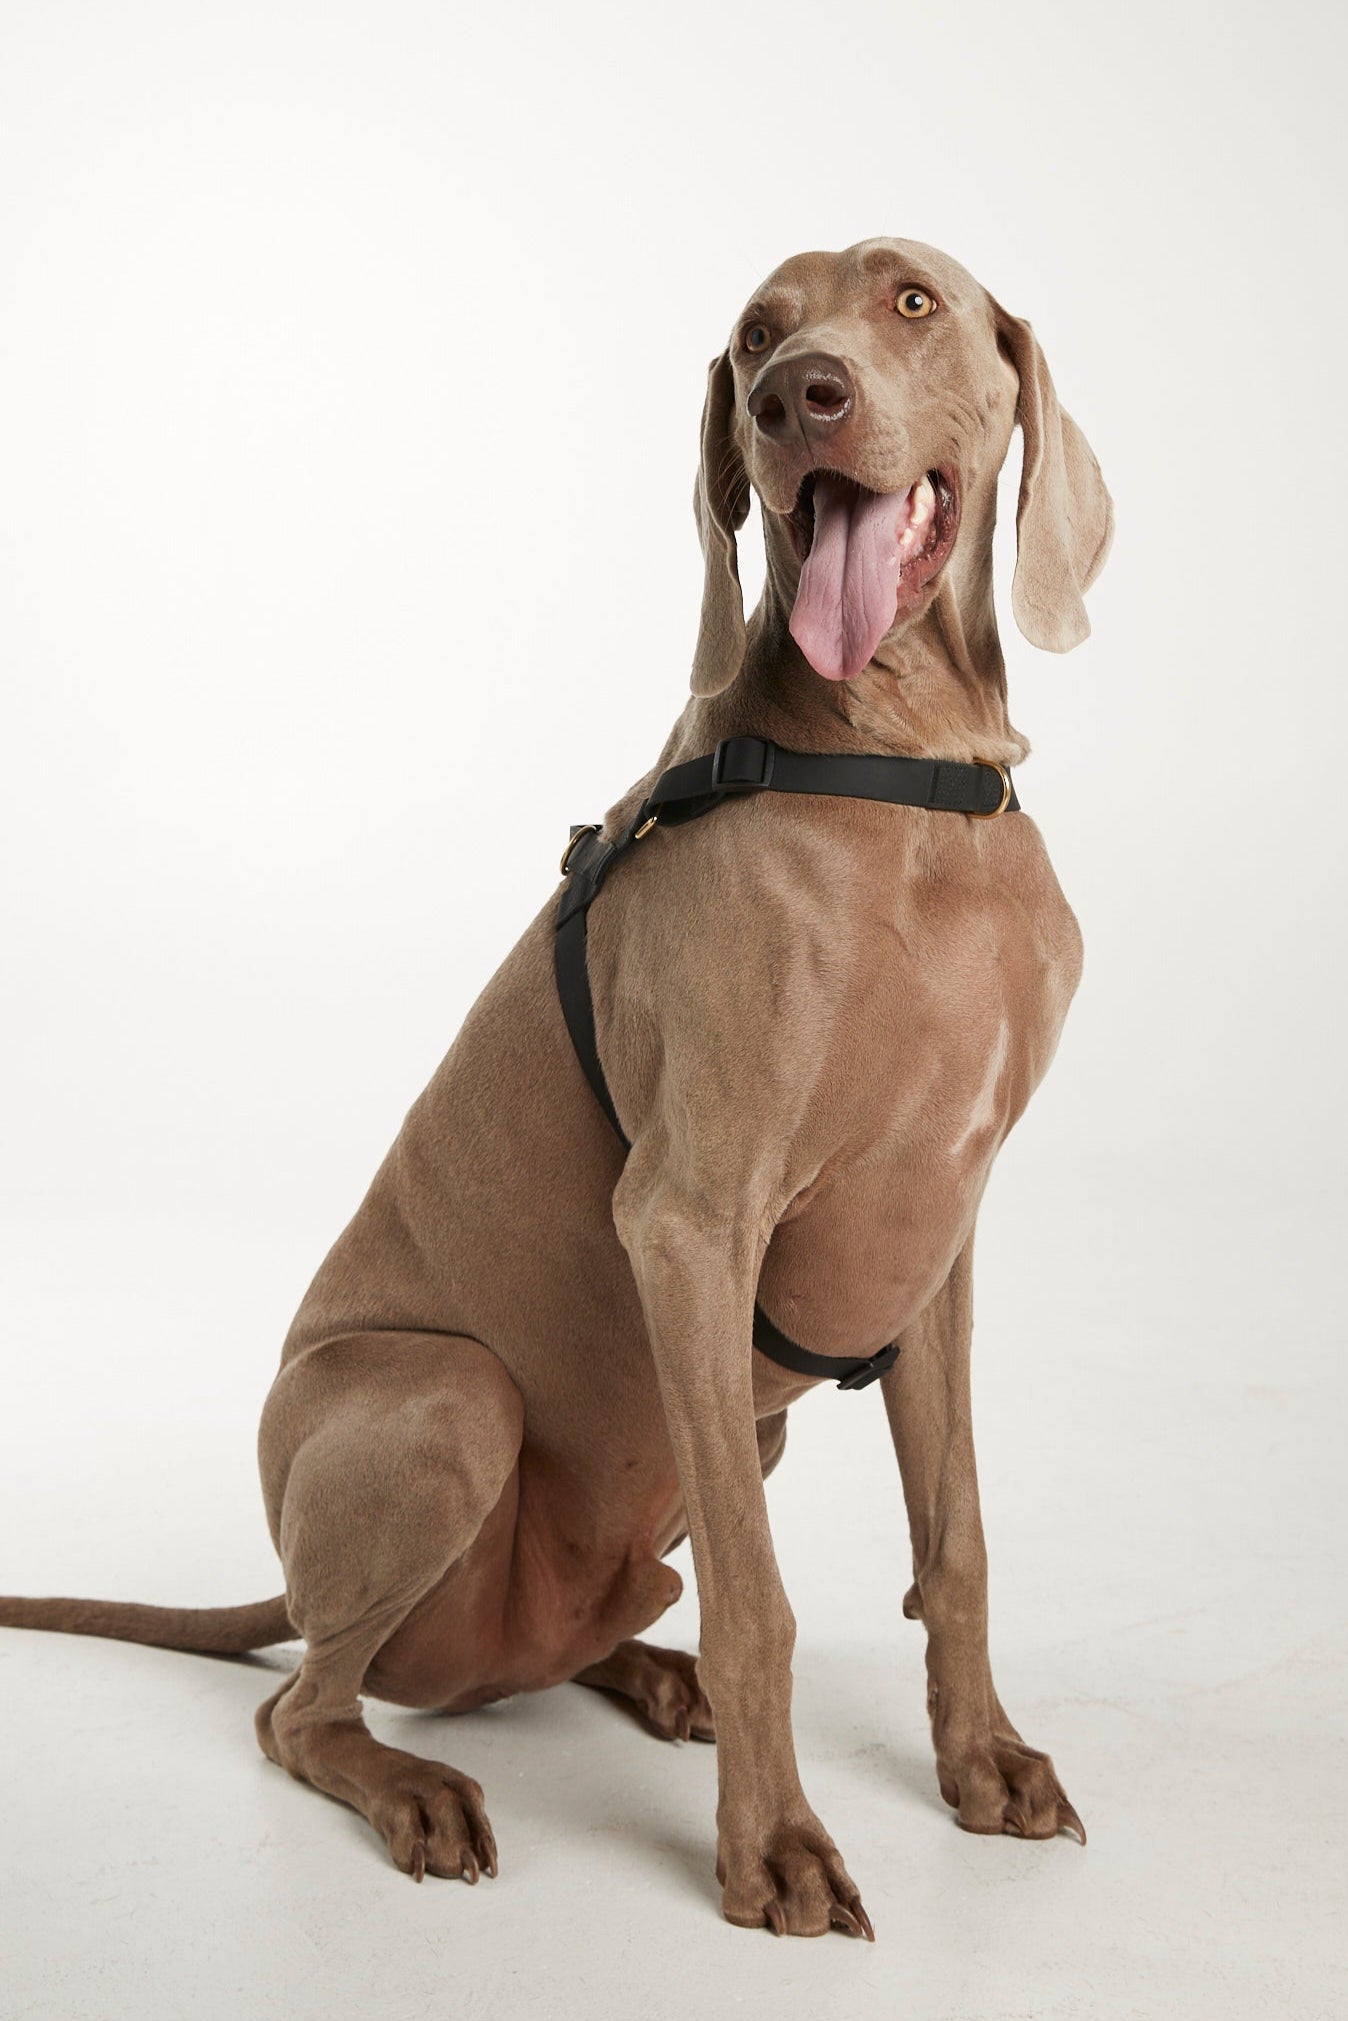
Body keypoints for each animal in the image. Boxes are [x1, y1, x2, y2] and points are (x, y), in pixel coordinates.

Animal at [1, 237, 1112, 1940]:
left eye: (911, 302)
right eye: (755, 335)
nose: (798, 399)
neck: (908, 776)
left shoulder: (936, 1239)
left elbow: (960, 1542)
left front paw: (980, 1761)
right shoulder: (690, 1223)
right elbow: (762, 1599)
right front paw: (776, 1847)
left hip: (709, 1446)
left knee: (558, 1637)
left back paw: (646, 1674)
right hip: (448, 1404)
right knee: (299, 1708)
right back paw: (420, 1788)